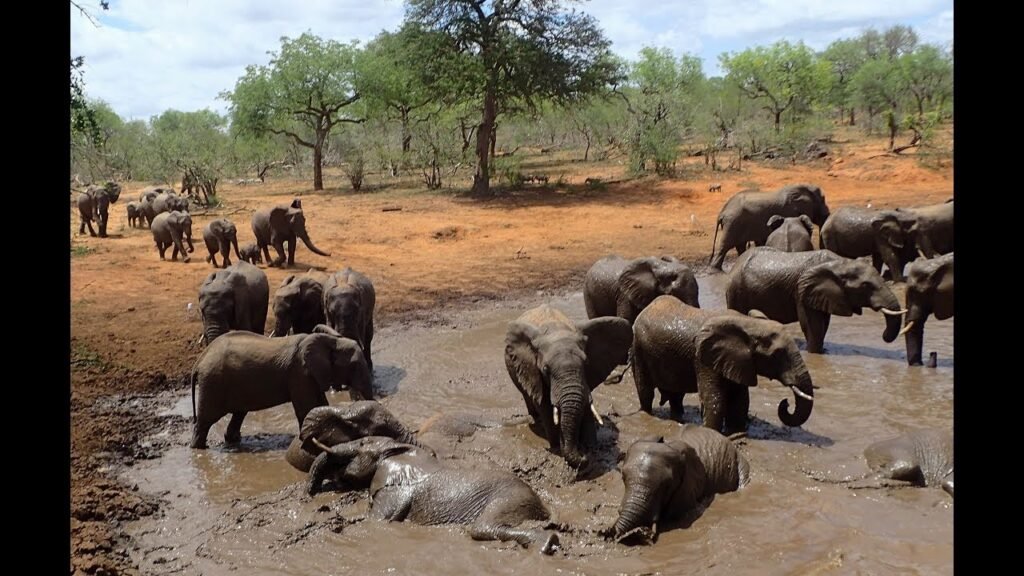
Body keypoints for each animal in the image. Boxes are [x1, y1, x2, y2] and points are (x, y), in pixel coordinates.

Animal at [189, 326, 373, 449]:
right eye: (355, 365)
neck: (331, 341)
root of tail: (200, 360)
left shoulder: (310, 375)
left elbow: (319, 405)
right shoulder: (299, 373)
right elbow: (307, 408)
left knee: (239, 413)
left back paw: (233, 441)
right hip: (213, 382)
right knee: (206, 420)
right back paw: (199, 448)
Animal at [305, 436, 561, 554]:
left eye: (363, 443)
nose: (311, 496)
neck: (396, 451)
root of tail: (543, 508)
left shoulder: (394, 490)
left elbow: (377, 521)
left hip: (509, 497)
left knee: (481, 528)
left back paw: (546, 543)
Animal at [504, 304, 633, 469]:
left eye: (586, 363)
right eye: (545, 369)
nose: (583, 455)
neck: (555, 328)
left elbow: (586, 406)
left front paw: (591, 447)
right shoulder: (534, 372)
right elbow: (546, 407)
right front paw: (557, 448)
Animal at [632, 295, 815, 434]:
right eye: (777, 355)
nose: (785, 403)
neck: (749, 323)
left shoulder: (738, 361)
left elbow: (740, 401)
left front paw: (736, 431)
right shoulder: (703, 359)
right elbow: (715, 400)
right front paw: (713, 433)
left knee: (676, 395)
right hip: (638, 348)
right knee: (646, 391)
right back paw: (647, 414)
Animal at [725, 247, 906, 354]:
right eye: (866, 285)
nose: (884, 336)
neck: (840, 263)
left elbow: (824, 323)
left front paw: (823, 352)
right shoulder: (802, 290)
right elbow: (813, 325)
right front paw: (815, 354)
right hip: (736, 292)